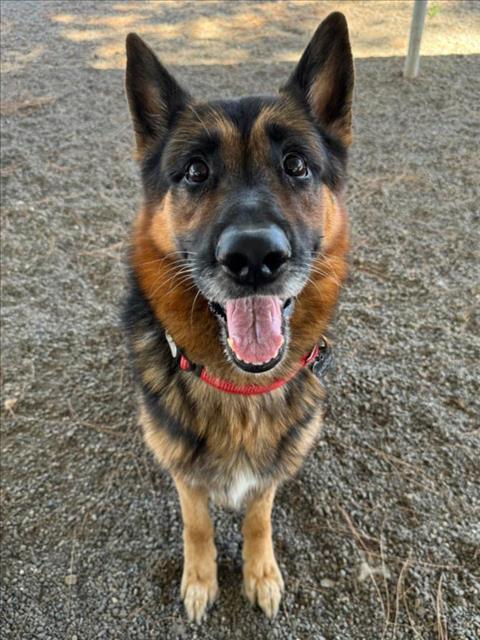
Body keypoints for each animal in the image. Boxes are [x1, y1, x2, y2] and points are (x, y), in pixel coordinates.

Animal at [123, 11, 352, 620]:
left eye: (295, 164)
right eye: (195, 171)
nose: (253, 257)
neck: (240, 389)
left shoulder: (272, 472)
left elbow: (258, 517)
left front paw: (260, 572)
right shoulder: (183, 472)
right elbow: (198, 523)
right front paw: (202, 579)